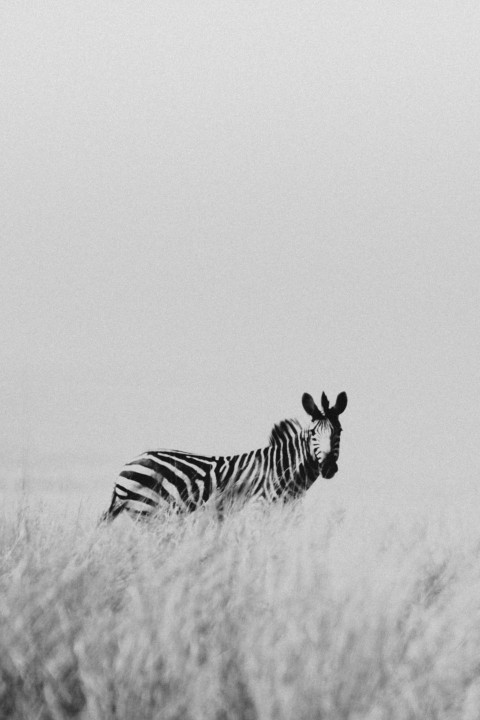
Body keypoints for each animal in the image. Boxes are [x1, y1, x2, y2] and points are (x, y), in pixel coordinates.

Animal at [101, 391, 347, 521]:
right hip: (148, 511)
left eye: (339, 431)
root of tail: (127, 465)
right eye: (313, 434)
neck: (284, 468)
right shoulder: (259, 507)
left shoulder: (287, 510)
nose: (328, 467)